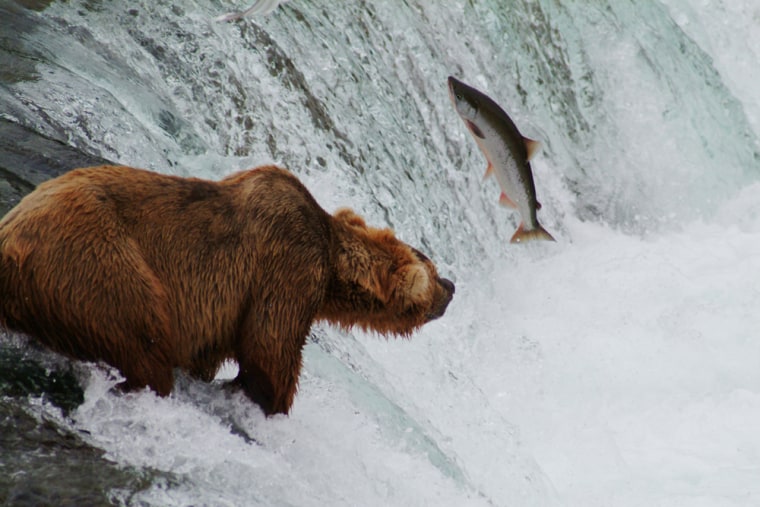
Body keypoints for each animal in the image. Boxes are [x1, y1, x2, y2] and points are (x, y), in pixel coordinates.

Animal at [0, 167, 454, 416]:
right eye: (430, 266)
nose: (452, 287)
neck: (331, 265)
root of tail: (10, 246)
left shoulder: (217, 311)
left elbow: (211, 354)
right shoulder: (286, 264)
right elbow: (270, 347)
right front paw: (270, 402)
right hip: (97, 264)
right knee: (144, 342)